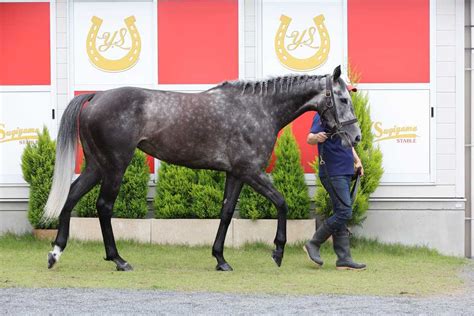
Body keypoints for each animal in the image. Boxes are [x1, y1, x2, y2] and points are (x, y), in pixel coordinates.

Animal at [43, 65, 360, 272]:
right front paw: (278, 252)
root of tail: (96, 96)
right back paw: (118, 260)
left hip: (97, 165)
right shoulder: (250, 170)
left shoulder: (235, 174)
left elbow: (227, 212)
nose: (355, 137)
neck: (258, 109)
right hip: (115, 165)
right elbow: (281, 202)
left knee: (71, 197)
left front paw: (220, 259)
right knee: (104, 206)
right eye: (343, 99)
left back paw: (56, 253)